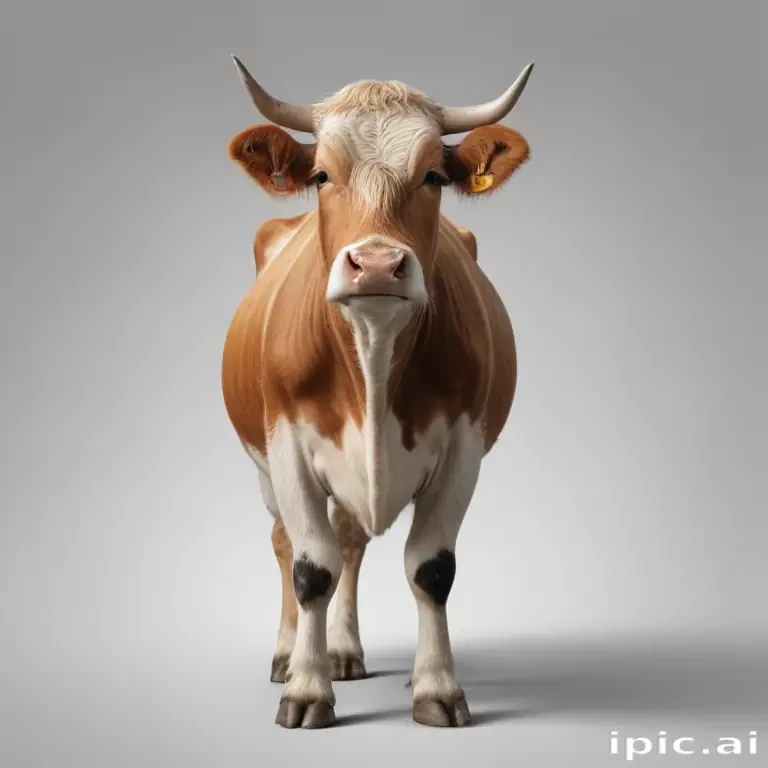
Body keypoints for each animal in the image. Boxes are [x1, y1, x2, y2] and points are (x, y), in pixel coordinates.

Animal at [221, 56, 534, 730]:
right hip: (262, 464)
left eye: (434, 175)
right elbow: (311, 568)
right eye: (320, 174)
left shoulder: (463, 449)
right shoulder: (286, 446)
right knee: (288, 545)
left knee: (351, 540)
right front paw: (306, 690)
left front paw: (436, 688)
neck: (373, 353)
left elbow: (430, 568)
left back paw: (344, 651)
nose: (377, 265)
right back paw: (289, 655)